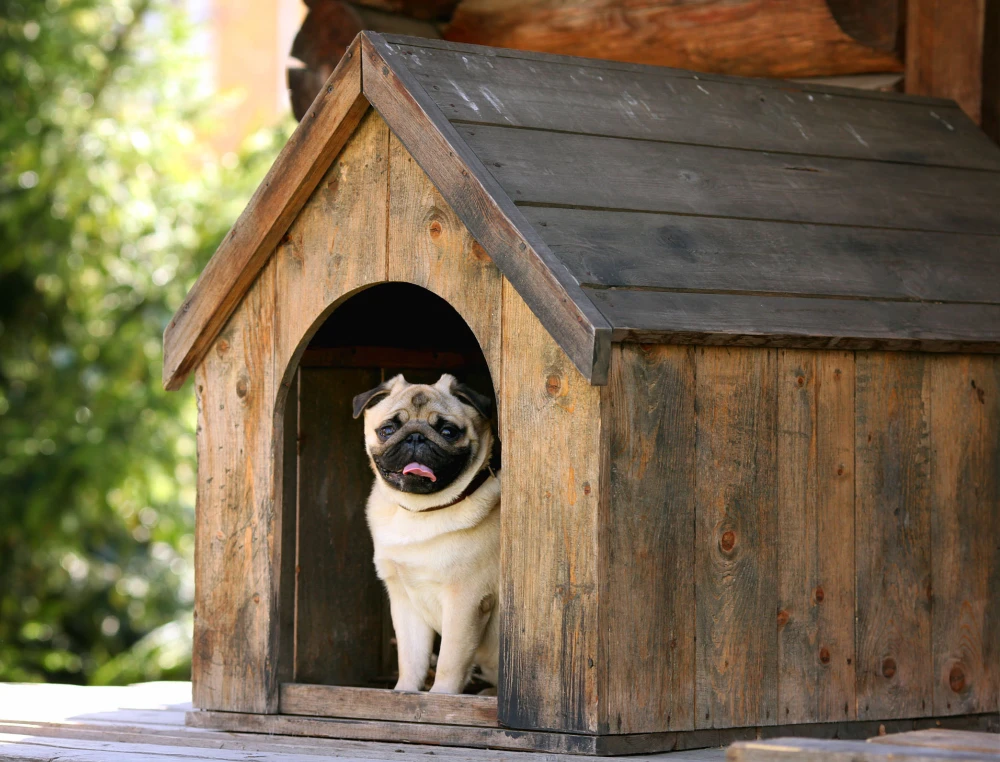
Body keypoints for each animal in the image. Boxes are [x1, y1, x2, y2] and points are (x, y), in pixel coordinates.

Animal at [352, 372, 500, 692]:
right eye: (387, 430)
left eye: (448, 431)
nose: (416, 437)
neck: (420, 512)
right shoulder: (405, 601)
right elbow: (411, 659)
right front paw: (405, 693)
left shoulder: (465, 601)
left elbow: (449, 662)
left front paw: (441, 697)